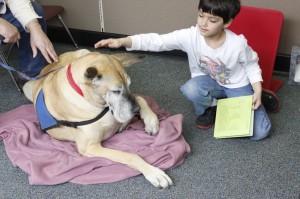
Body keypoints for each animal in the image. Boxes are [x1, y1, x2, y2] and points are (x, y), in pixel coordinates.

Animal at [22, 48, 173, 188]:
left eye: (129, 85)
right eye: (116, 91)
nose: (136, 110)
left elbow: (140, 98)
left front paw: (151, 121)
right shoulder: (90, 147)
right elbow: (130, 155)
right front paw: (154, 173)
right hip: (26, 88)